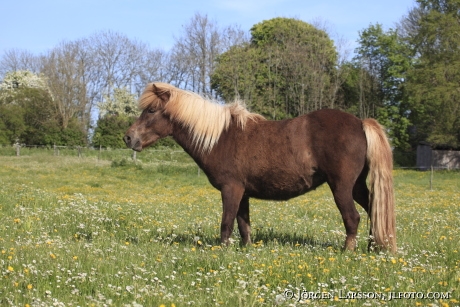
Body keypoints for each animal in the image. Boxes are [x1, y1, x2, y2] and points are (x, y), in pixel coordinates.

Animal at [124, 82, 398, 253]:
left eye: (151, 110)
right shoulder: (243, 192)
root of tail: (360, 122)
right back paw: (372, 248)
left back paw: (347, 252)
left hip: (341, 187)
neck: (221, 136)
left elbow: (226, 223)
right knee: (373, 210)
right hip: (357, 186)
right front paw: (245, 250)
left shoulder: (231, 189)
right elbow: (244, 225)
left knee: (353, 218)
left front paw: (222, 251)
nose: (128, 138)